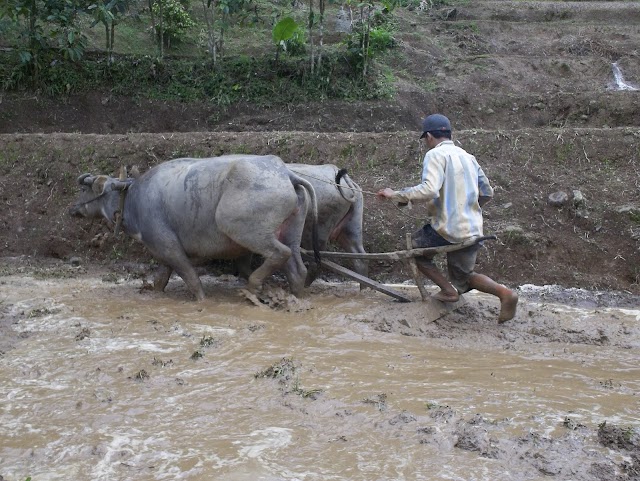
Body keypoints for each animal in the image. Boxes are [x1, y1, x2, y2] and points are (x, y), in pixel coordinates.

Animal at [69, 154, 318, 298]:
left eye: (83, 189)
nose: (72, 210)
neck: (132, 199)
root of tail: (285, 173)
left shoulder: (169, 247)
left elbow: (190, 277)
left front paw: (201, 299)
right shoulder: (161, 251)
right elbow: (161, 278)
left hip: (241, 228)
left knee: (280, 252)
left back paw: (253, 286)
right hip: (291, 230)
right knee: (297, 268)